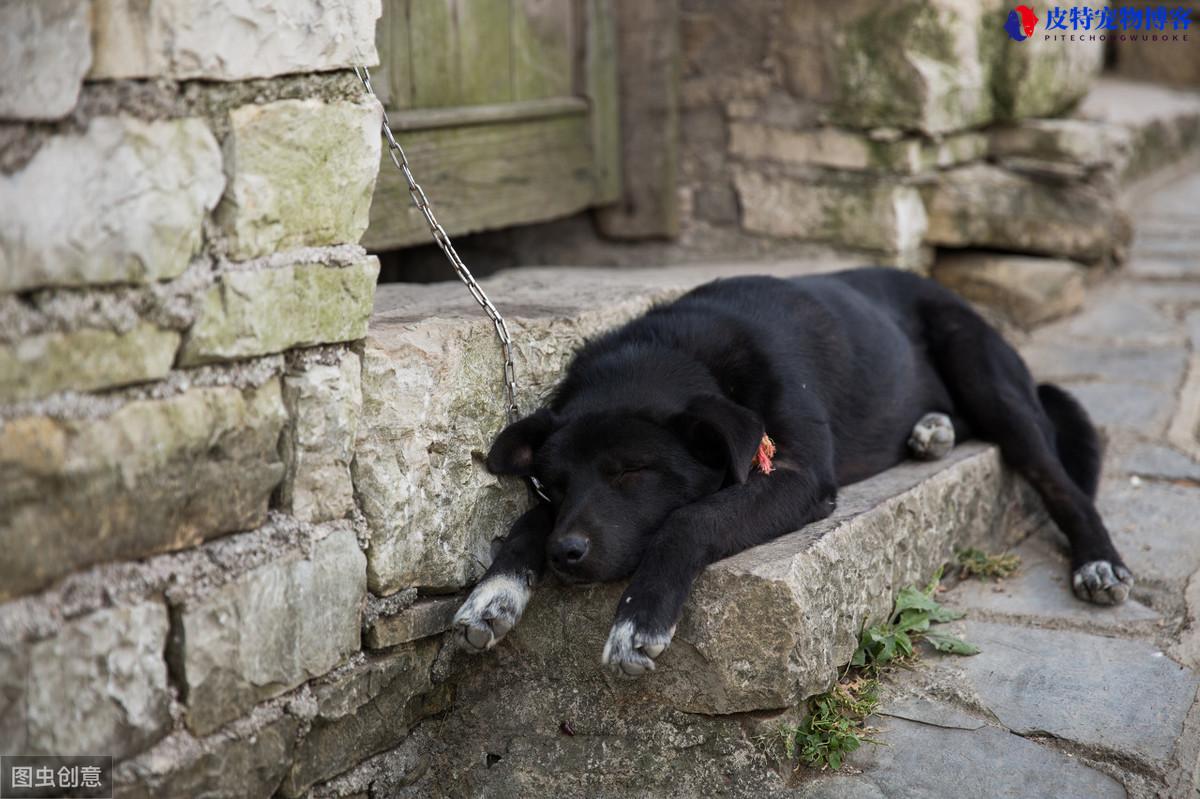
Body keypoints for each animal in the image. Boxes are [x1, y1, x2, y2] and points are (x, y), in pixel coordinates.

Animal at [451, 266, 1132, 671]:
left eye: (632, 473)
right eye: (553, 484)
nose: (566, 555)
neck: (679, 352)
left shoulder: (799, 477)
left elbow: (690, 519)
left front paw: (638, 618)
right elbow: (525, 524)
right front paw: (492, 593)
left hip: (987, 377)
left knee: (1061, 483)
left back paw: (1098, 561)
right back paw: (931, 431)